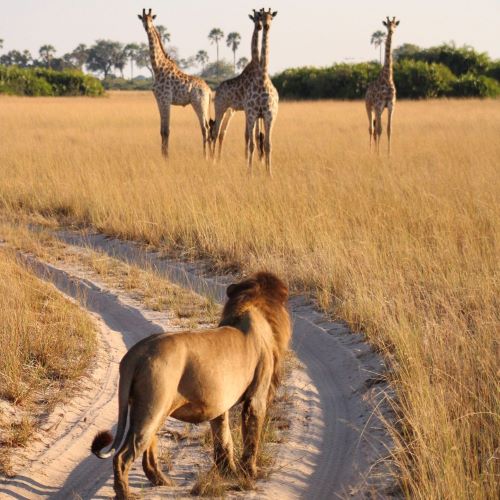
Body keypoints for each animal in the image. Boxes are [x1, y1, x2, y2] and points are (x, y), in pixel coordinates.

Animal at [92, 272, 292, 498]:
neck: (250, 305)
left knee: (148, 450)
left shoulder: (219, 405)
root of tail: (135, 354)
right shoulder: (257, 397)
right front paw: (249, 474)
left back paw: (163, 481)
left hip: (147, 409)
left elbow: (224, 439)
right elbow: (251, 437)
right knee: (123, 456)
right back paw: (125, 494)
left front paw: (228, 473)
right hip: (152, 407)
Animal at [138, 9, 212, 158]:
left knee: (205, 128)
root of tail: (209, 90)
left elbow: (167, 130)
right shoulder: (159, 100)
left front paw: (166, 157)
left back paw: (205, 157)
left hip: (199, 103)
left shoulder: (166, 99)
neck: (157, 68)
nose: (147, 27)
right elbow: (161, 130)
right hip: (204, 104)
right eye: (142, 19)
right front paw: (162, 155)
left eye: (151, 19)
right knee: (207, 126)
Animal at [210, 9, 264, 160]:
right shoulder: (247, 108)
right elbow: (248, 135)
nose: (260, 26)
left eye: (261, 17)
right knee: (216, 131)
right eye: (255, 18)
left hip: (229, 110)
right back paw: (214, 159)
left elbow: (255, 135)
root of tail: (216, 91)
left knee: (220, 132)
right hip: (220, 107)